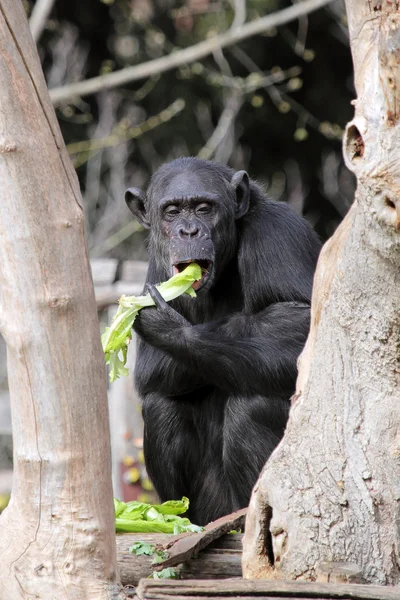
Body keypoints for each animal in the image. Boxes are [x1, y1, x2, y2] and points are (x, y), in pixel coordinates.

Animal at [125, 156, 322, 524]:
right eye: (172, 212)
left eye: (204, 209)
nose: (189, 231)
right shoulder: (157, 264)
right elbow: (150, 368)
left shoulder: (280, 233)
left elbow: (302, 323)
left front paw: (169, 328)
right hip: (209, 506)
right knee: (161, 405)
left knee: (252, 406)